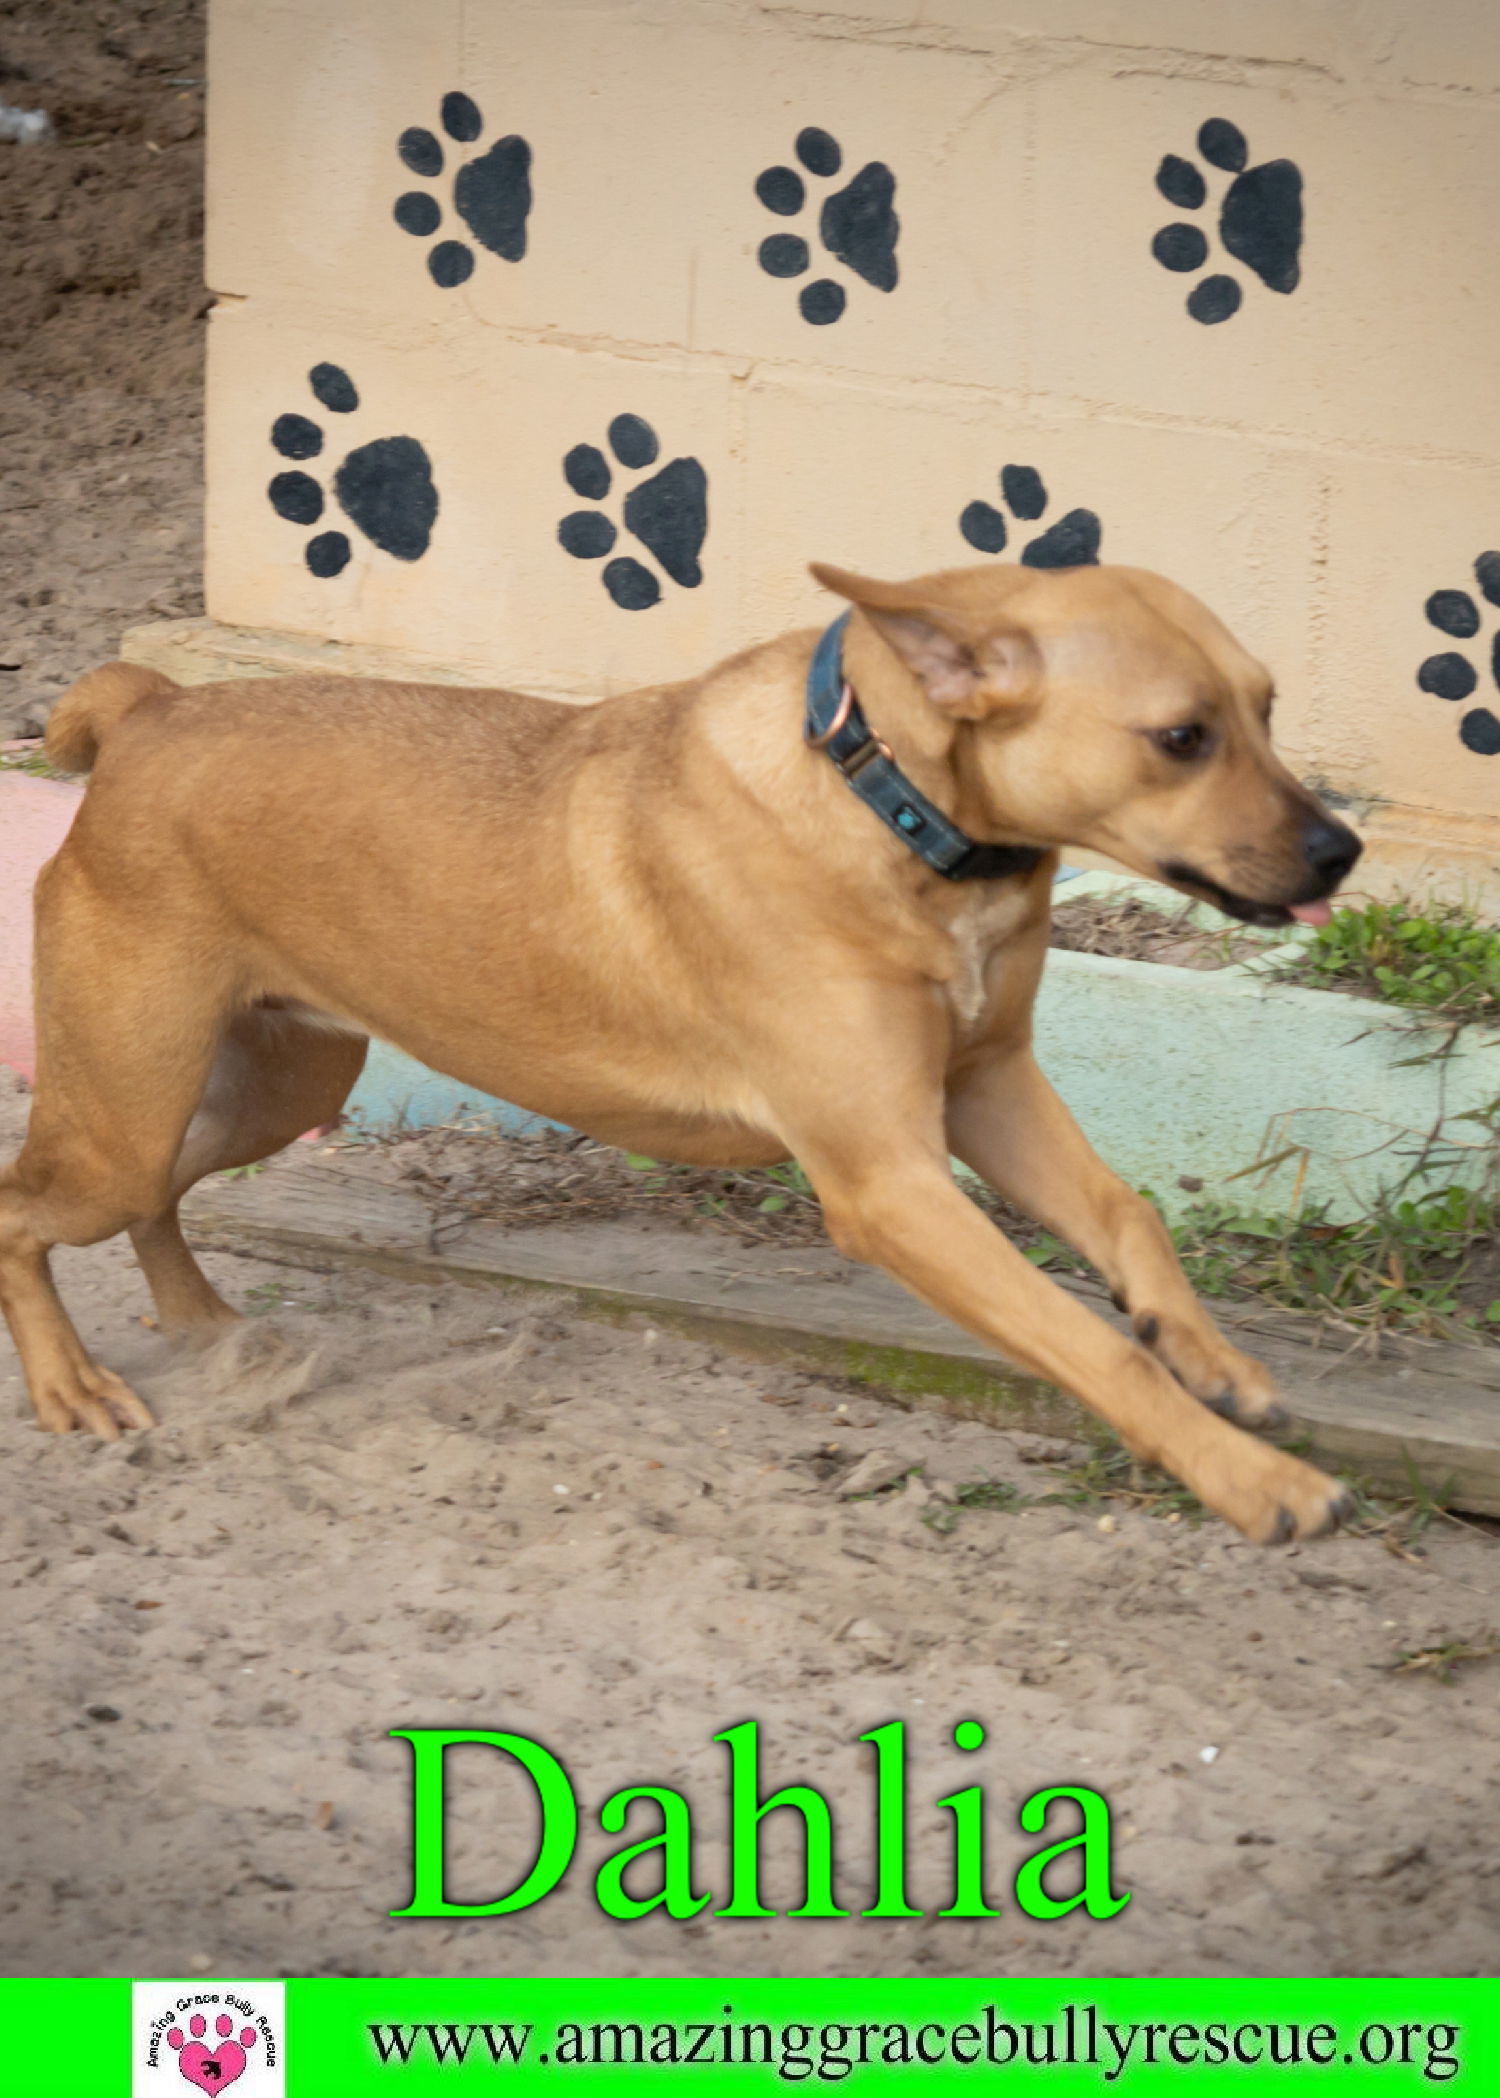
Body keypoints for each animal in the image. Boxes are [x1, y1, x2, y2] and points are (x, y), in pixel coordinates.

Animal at [0, 562, 1359, 1544]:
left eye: (1268, 709)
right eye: (1181, 737)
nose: (1341, 852)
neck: (885, 800)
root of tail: (153, 711)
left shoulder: (988, 1090)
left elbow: (1130, 1219)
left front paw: (1214, 1362)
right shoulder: (891, 1183)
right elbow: (1088, 1343)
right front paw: (1254, 1480)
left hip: (257, 1093)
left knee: (156, 1198)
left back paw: (197, 1322)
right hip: (127, 1115)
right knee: (21, 1211)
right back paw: (73, 1385)